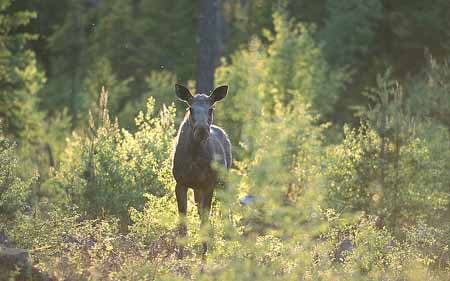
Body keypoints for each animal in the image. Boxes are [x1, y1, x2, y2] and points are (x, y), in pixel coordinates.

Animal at [172, 83, 232, 256]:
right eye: (190, 108)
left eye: (211, 109)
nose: (201, 129)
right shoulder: (180, 183)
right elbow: (183, 222)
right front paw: (180, 254)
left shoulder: (208, 184)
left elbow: (205, 219)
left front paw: (204, 253)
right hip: (197, 189)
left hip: (224, 181)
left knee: (226, 211)